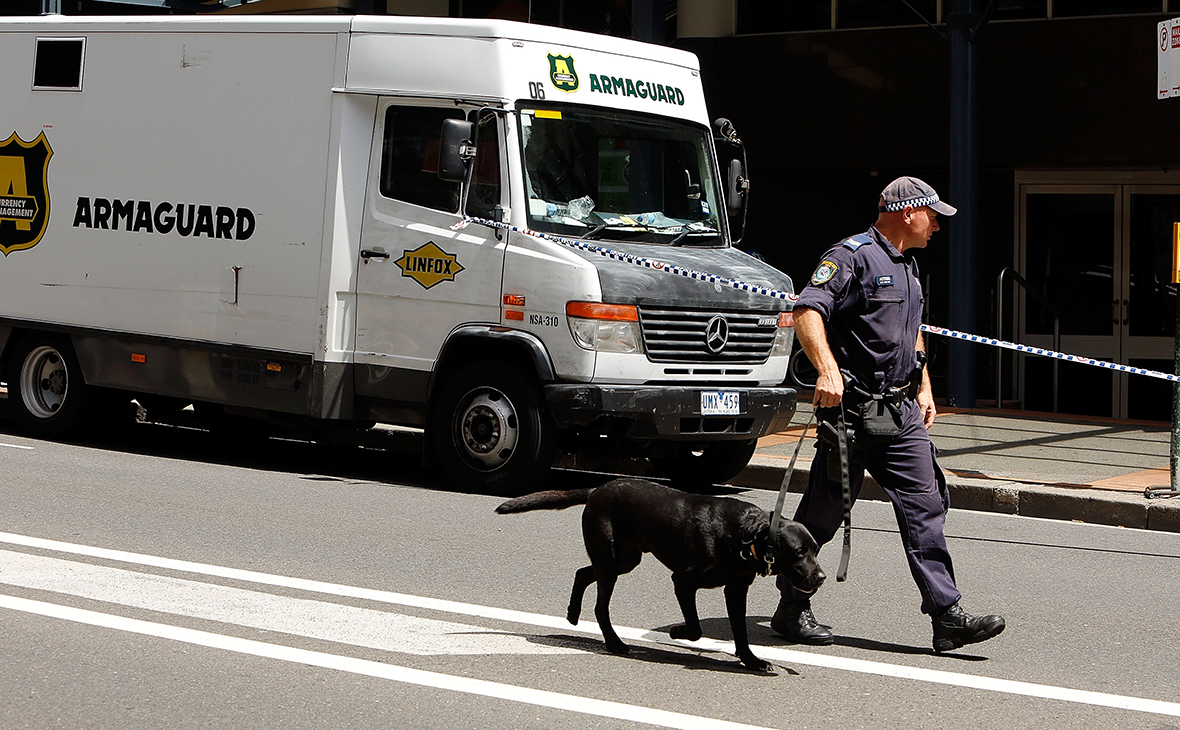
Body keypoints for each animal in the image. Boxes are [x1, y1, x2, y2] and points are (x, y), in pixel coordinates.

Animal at [493, 476, 825, 669]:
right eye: (799, 552)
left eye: (816, 550)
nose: (821, 578)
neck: (743, 536)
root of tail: (597, 489)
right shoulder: (683, 581)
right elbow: (695, 628)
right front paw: (677, 631)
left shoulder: (736, 589)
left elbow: (740, 631)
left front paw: (752, 661)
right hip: (613, 561)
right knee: (600, 605)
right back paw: (614, 643)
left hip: (624, 559)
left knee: (583, 572)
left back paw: (573, 614)